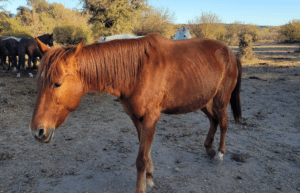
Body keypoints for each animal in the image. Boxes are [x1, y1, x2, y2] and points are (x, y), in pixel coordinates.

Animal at [29, 34, 241, 192]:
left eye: (57, 84)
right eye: (38, 82)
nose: (37, 131)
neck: (137, 70)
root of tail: (230, 53)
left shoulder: (151, 118)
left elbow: (141, 158)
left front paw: (142, 186)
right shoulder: (136, 117)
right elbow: (145, 152)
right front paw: (150, 177)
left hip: (221, 99)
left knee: (223, 122)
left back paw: (220, 153)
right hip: (204, 100)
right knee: (214, 120)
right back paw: (209, 149)